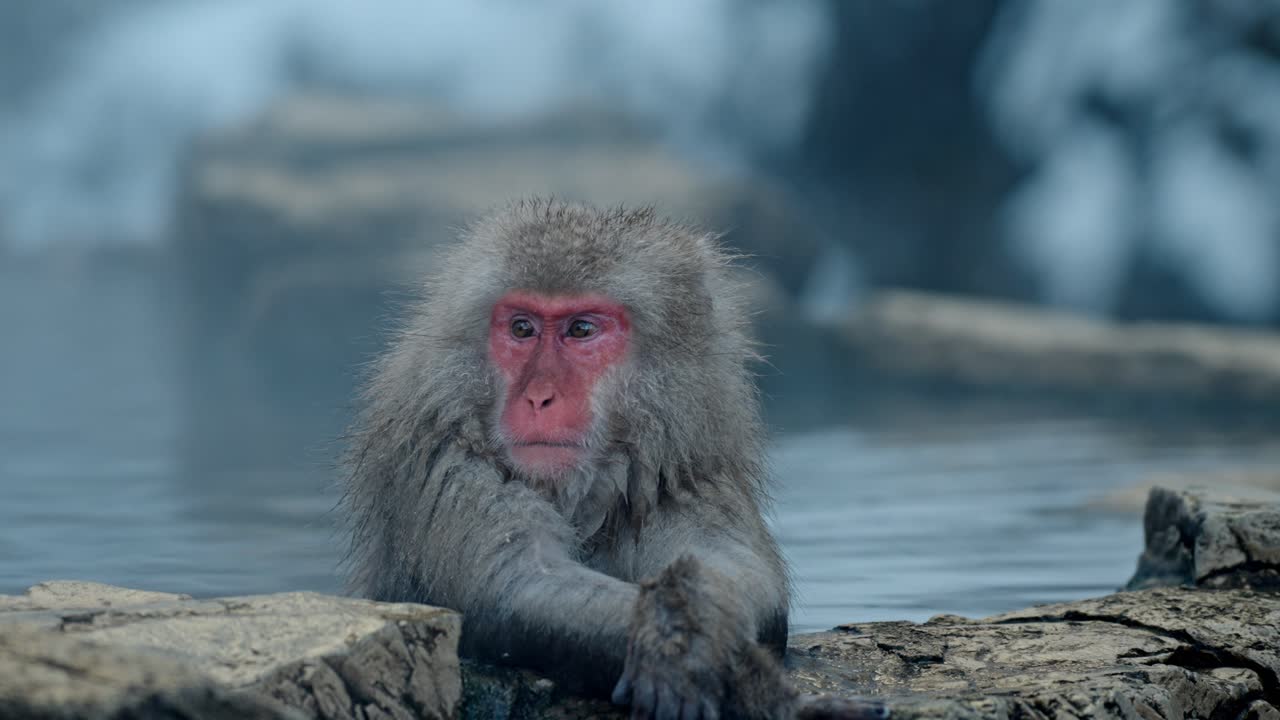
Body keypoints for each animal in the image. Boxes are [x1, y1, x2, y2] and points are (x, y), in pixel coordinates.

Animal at [342, 199, 882, 719]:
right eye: (522, 328)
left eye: (581, 329)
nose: (538, 397)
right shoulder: (450, 462)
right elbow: (510, 585)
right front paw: (728, 670)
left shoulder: (677, 473)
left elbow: (740, 570)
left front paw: (696, 623)